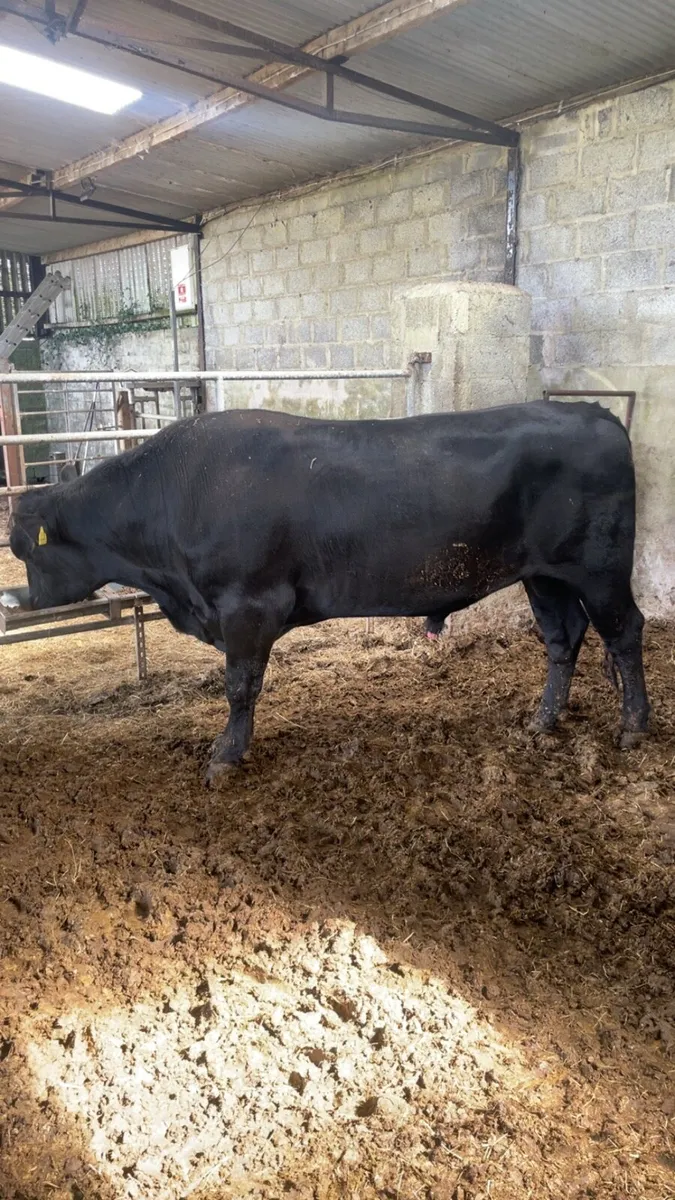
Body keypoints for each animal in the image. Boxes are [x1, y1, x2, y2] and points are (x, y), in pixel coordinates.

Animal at [9, 402, 649, 782]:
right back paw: (543, 721)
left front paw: (226, 756)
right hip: (545, 575)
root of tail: (590, 409)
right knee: (563, 638)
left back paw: (633, 728)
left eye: (24, 550)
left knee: (624, 633)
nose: (16, 601)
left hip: (599, 568)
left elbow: (240, 686)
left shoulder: (247, 605)